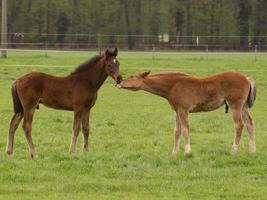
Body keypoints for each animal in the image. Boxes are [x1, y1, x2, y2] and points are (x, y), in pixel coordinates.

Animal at [118, 71, 258, 155]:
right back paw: (252, 151)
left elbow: (185, 130)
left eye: (132, 77)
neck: (173, 86)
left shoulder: (183, 110)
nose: (119, 82)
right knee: (250, 124)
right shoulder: (177, 111)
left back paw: (233, 150)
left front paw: (187, 151)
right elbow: (177, 131)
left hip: (235, 106)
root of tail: (246, 78)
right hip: (243, 107)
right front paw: (174, 153)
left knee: (239, 125)